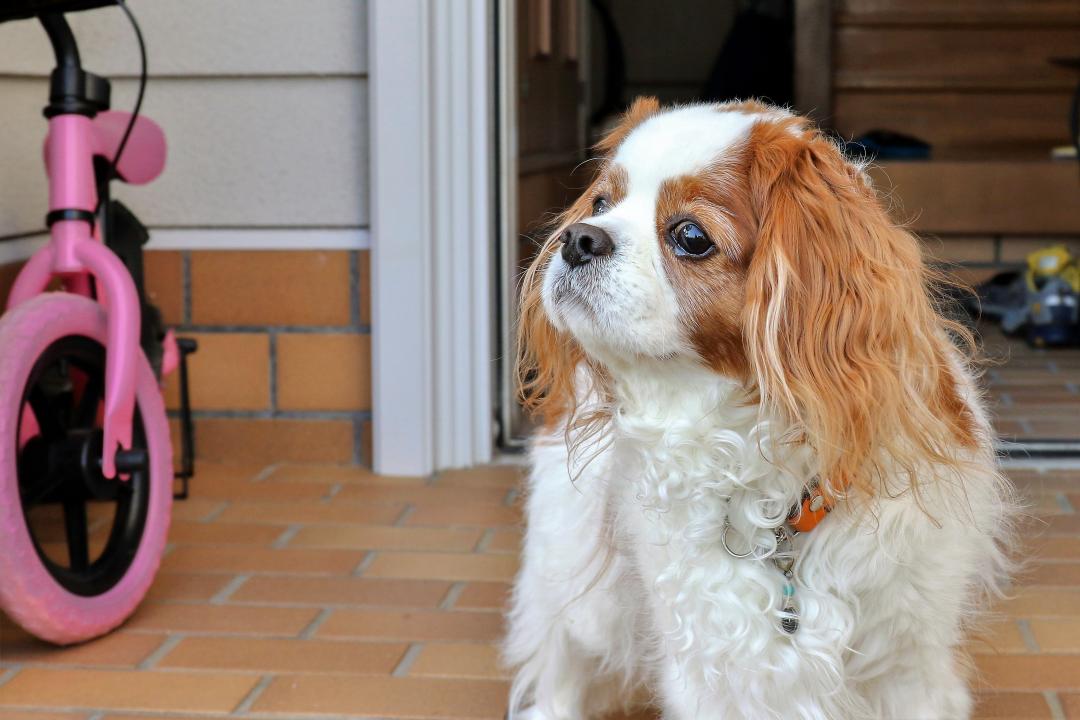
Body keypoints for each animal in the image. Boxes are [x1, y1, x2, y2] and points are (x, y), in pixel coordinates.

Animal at [501, 97, 1015, 720]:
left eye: (690, 236)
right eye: (601, 204)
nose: (577, 237)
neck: (776, 492)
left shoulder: (911, 668)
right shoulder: (713, 666)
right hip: (575, 572)